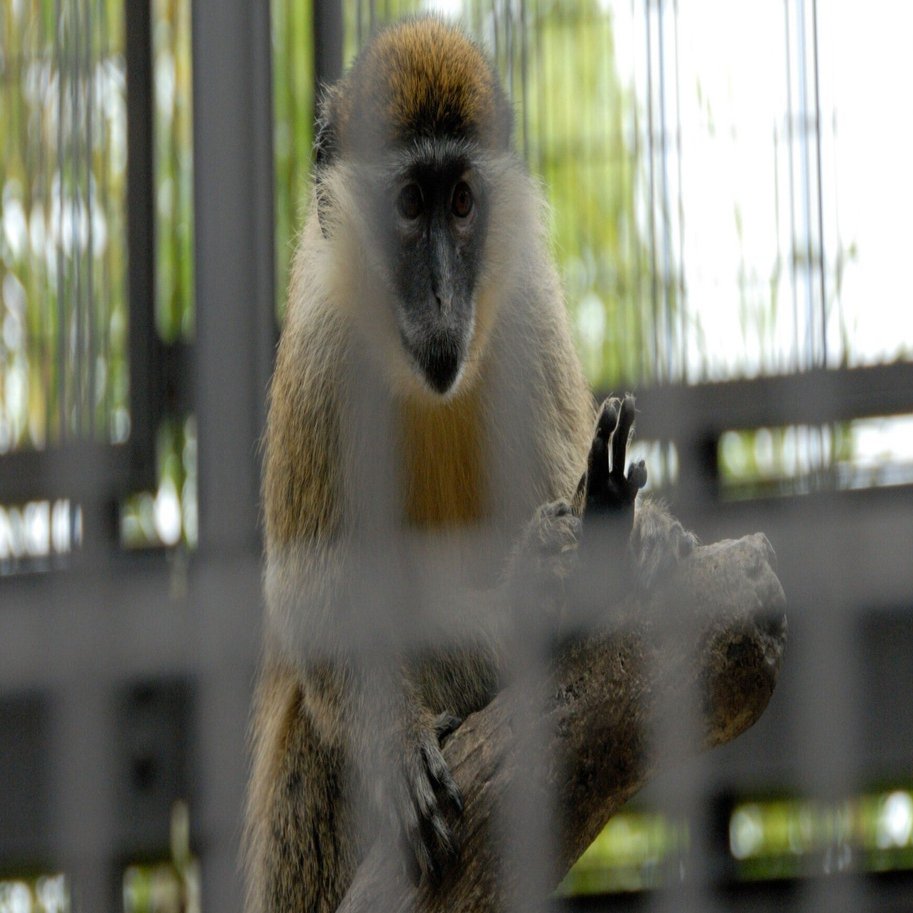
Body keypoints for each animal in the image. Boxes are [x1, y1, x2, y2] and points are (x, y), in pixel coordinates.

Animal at [245, 18, 694, 913]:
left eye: (460, 202)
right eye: (410, 204)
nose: (445, 299)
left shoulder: (525, 306)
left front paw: (626, 538)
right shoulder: (318, 349)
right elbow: (325, 608)